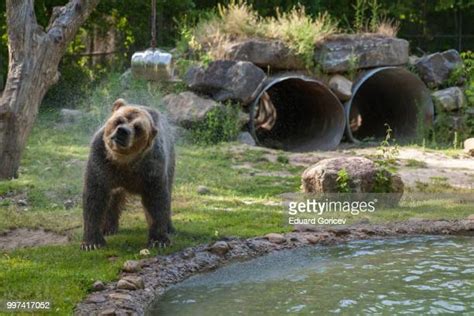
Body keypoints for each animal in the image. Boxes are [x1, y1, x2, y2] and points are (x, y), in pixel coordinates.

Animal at [81, 99, 176, 252]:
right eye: (119, 120)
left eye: (138, 128)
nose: (122, 131)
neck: (123, 161)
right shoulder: (100, 161)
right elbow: (95, 196)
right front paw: (92, 242)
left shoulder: (151, 167)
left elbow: (156, 199)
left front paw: (159, 240)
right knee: (113, 197)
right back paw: (108, 227)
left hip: (170, 160)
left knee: (168, 190)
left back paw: (169, 227)